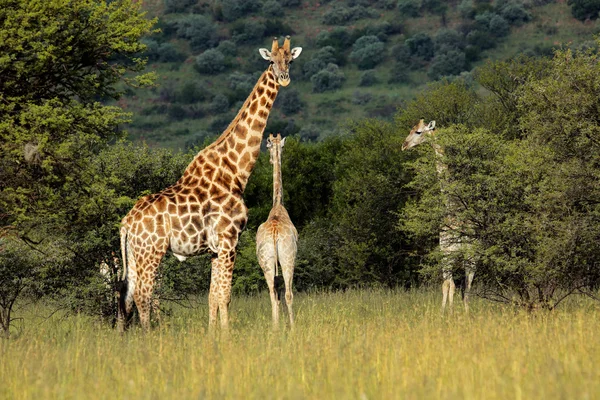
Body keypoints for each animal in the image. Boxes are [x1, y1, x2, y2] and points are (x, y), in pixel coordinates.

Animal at [117, 37, 302, 332]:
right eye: (271, 60)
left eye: (290, 60)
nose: (284, 78)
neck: (235, 170)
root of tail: (126, 223)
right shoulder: (229, 239)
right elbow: (225, 296)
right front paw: (226, 337)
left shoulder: (215, 249)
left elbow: (213, 297)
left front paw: (213, 334)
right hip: (151, 252)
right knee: (143, 295)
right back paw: (151, 338)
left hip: (134, 255)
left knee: (129, 295)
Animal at [400, 119, 476, 312]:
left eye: (418, 132)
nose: (404, 145)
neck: (452, 207)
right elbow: (452, 286)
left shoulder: (448, 254)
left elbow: (448, 285)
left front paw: (445, 314)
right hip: (469, 258)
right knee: (465, 288)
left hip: (459, 257)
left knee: (456, 286)